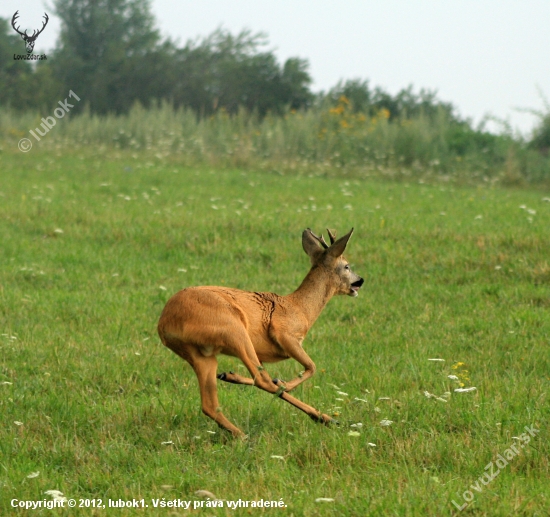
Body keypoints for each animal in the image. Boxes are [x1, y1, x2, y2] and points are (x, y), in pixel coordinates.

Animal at [157, 228, 364, 434]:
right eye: (346, 266)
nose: (360, 280)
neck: (300, 308)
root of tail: (164, 324)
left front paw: (233, 376)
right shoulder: (285, 334)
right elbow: (311, 367)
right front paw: (283, 383)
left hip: (200, 354)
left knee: (210, 404)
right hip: (234, 330)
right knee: (261, 380)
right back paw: (324, 417)